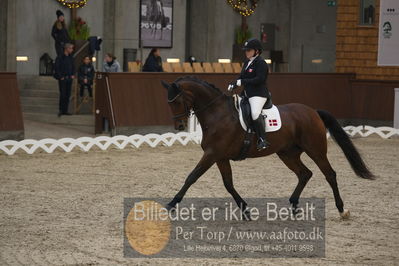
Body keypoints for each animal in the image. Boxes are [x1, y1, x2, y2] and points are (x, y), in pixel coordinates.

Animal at [161, 76, 374, 218]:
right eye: (169, 103)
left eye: (177, 101)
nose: (179, 126)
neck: (217, 114)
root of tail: (313, 111)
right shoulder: (220, 157)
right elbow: (228, 184)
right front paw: (245, 210)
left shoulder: (212, 154)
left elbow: (192, 177)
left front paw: (171, 204)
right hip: (287, 154)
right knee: (305, 174)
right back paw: (294, 206)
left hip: (316, 150)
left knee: (329, 174)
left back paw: (341, 209)